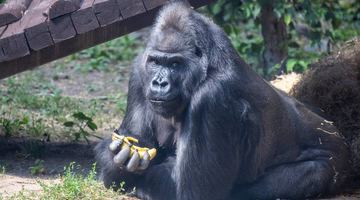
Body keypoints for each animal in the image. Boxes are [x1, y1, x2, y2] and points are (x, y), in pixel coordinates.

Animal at [94, 1, 350, 200]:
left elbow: (192, 191)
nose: (159, 83)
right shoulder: (140, 71)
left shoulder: (212, 98)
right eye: (156, 62)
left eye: (175, 64)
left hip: (334, 163)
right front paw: (117, 160)